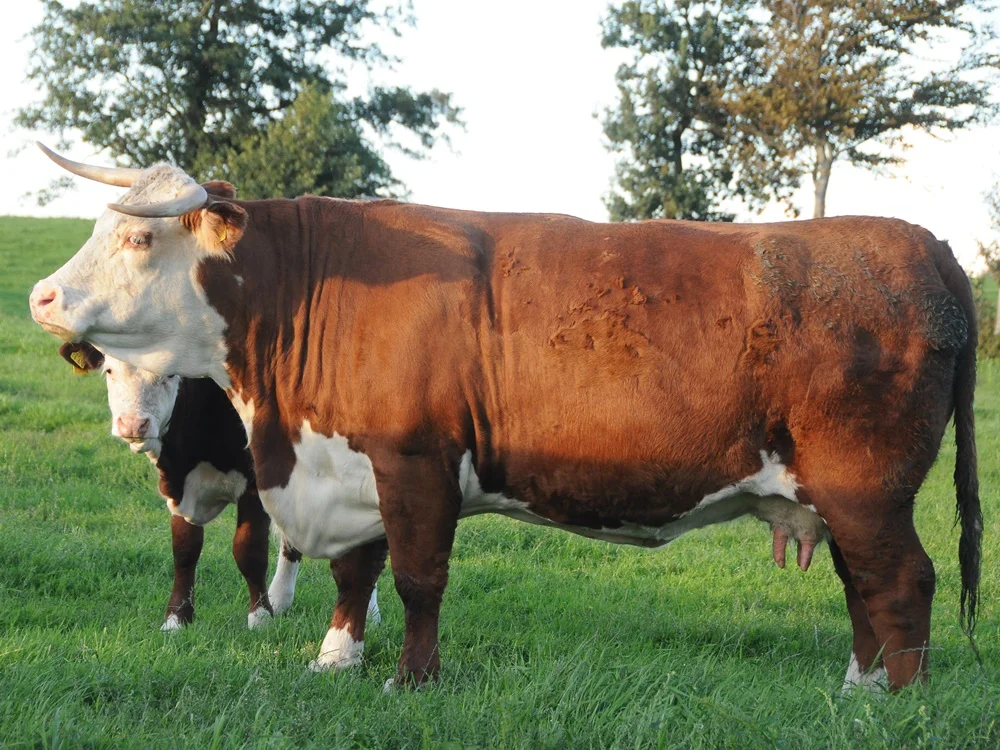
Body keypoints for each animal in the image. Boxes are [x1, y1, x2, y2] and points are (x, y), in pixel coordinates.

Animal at [57, 340, 380, 642]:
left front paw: (260, 618)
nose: (134, 424)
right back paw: (281, 599)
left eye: (170, 373)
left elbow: (249, 551)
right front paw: (177, 619)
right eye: (110, 371)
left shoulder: (253, 486)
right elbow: (184, 550)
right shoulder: (180, 490)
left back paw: (369, 613)